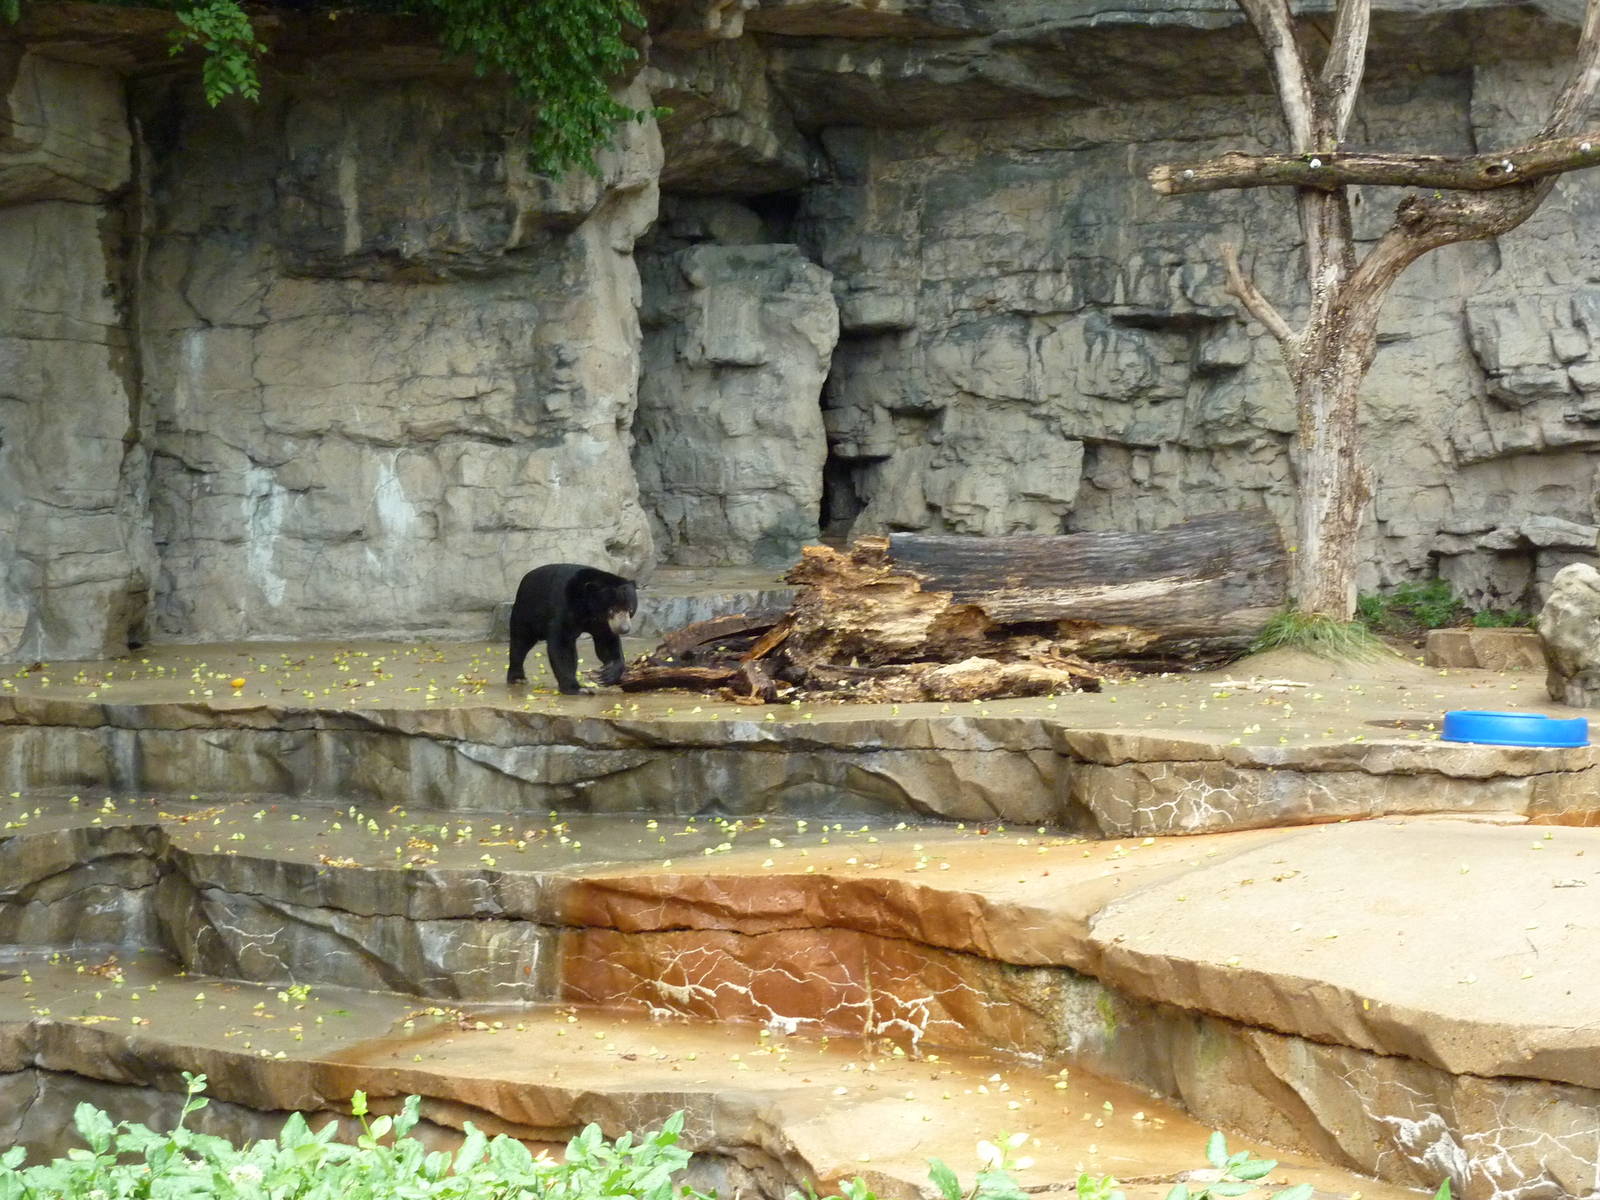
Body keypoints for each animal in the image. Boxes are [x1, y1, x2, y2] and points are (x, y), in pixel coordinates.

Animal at [506, 563, 638, 695]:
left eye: (630, 609)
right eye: (612, 609)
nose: (624, 629)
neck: (588, 610)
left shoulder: (602, 623)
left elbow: (606, 642)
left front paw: (608, 674)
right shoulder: (565, 607)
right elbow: (562, 645)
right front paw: (577, 688)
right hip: (527, 612)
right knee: (520, 642)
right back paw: (517, 678)